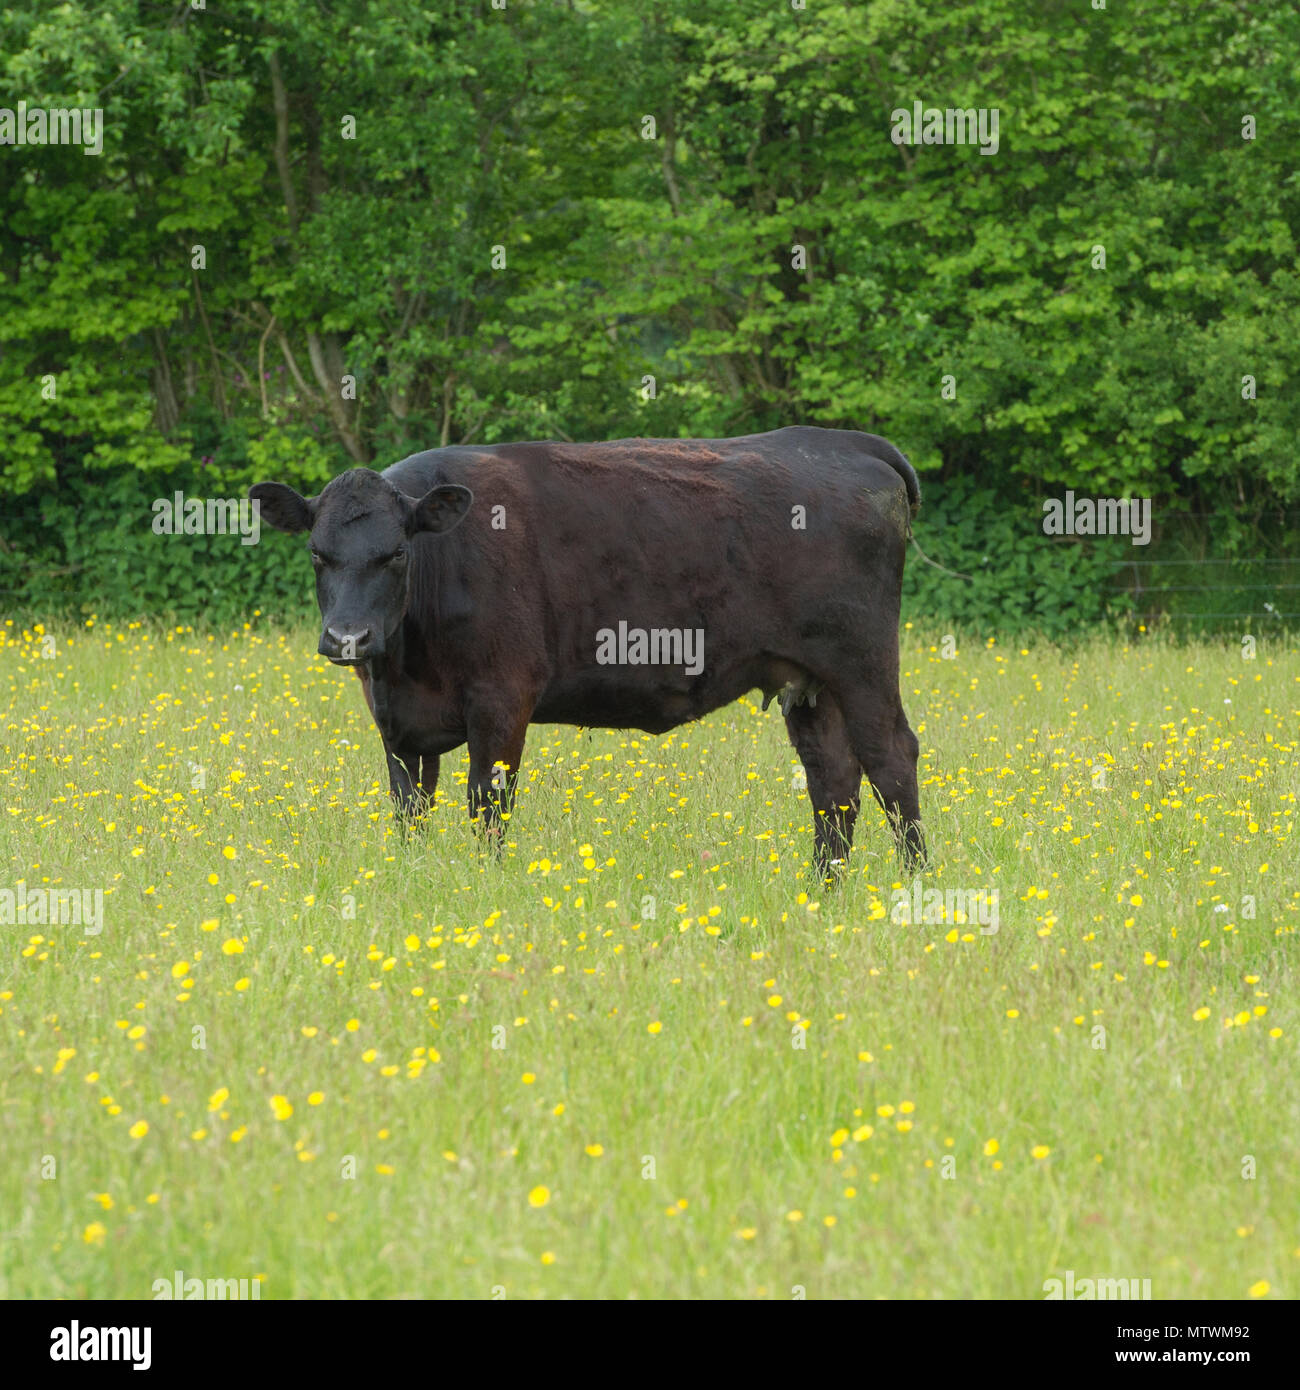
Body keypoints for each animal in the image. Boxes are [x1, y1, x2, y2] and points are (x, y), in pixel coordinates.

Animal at [249, 426, 924, 875]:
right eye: (317, 553)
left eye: (395, 553)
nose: (349, 638)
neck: (405, 665)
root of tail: (848, 442)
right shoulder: (396, 722)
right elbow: (409, 808)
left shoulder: (502, 698)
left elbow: (487, 802)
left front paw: (486, 883)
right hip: (809, 680)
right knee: (832, 774)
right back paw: (824, 887)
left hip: (862, 664)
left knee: (890, 757)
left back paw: (913, 880)